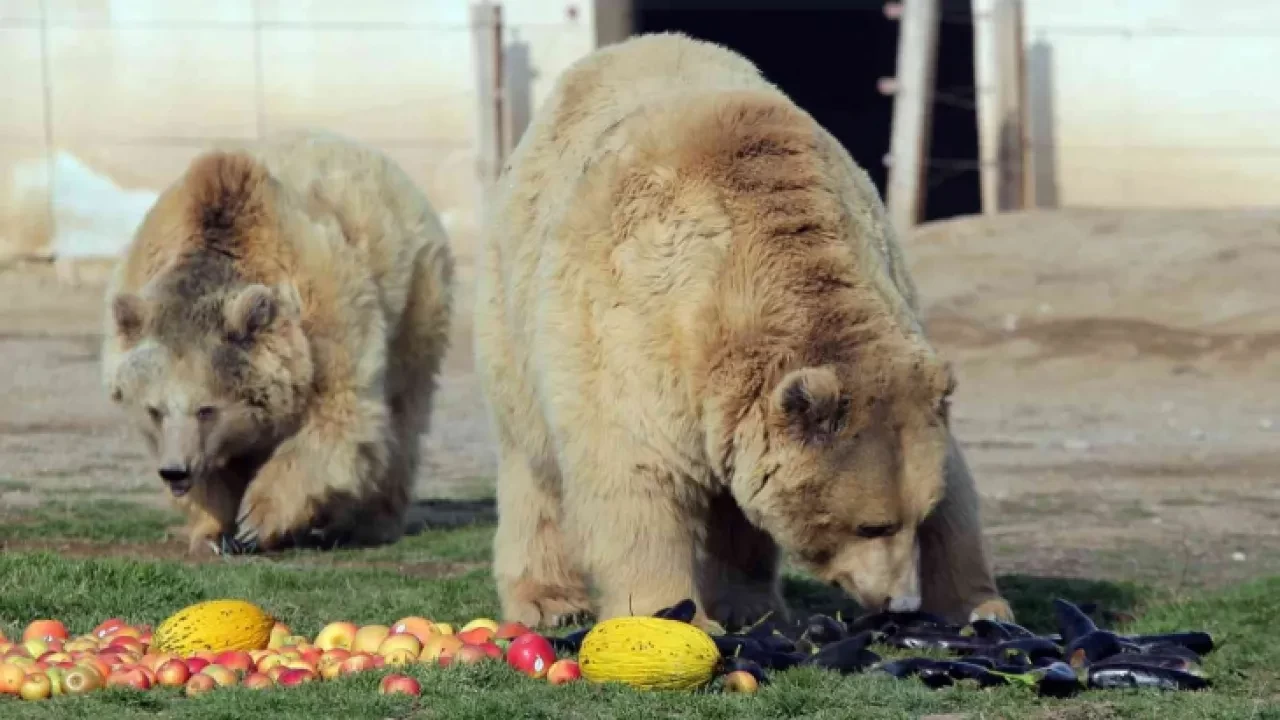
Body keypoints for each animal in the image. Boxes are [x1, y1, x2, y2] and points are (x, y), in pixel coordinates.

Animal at [99, 130, 453, 556]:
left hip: (416, 298)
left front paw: (255, 519)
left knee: (402, 415)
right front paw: (214, 532)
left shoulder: (322, 322)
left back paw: (369, 522)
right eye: (154, 409)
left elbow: (337, 417)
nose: (175, 472)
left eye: (206, 409)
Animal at [476, 33, 1013, 627]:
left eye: (917, 515)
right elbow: (637, 473)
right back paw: (548, 600)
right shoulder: (634, 322)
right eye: (871, 525)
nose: (901, 603)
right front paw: (672, 614)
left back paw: (749, 603)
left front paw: (981, 607)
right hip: (516, 298)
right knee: (533, 458)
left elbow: (954, 480)